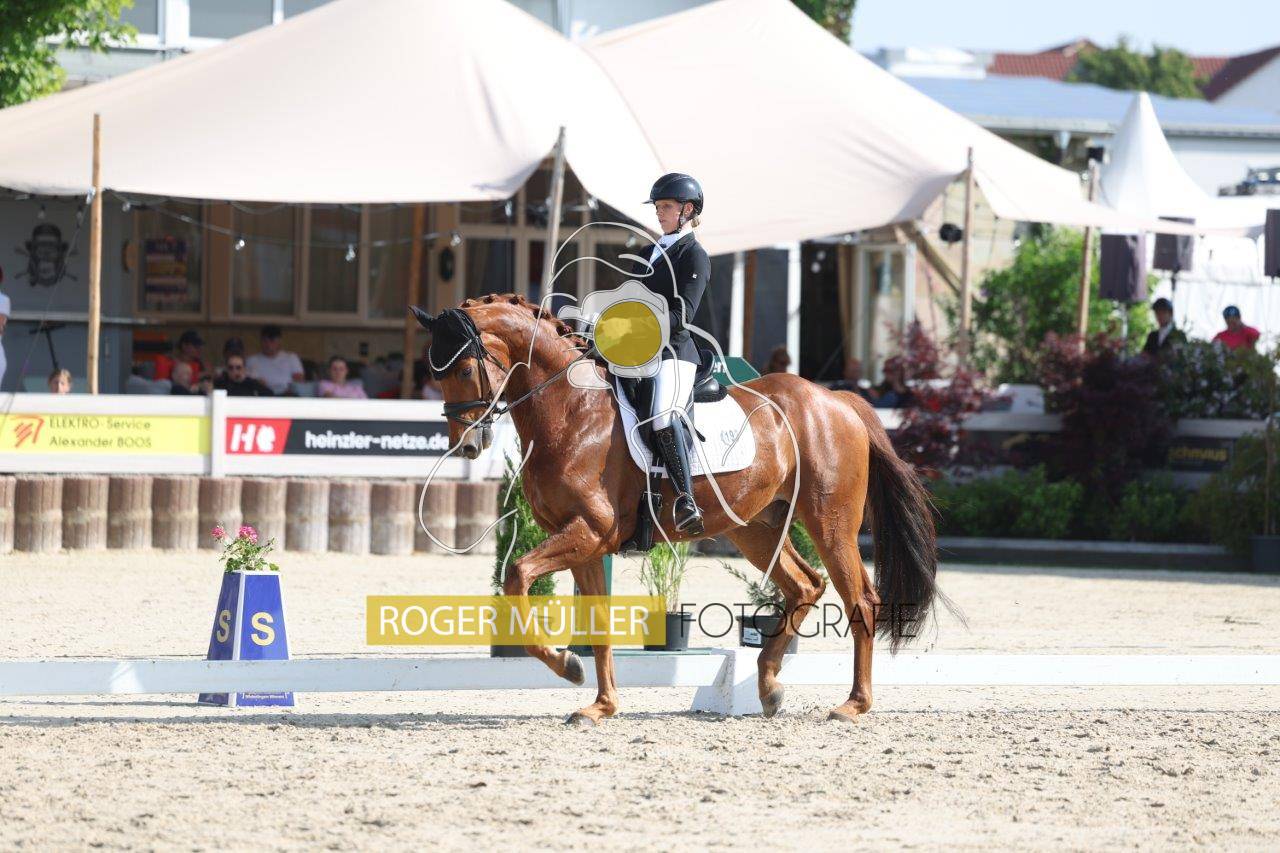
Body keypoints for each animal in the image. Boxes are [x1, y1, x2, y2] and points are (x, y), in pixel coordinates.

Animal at [411, 293, 940, 725]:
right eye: (435, 375)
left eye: (463, 370)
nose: (467, 445)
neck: (570, 409)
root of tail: (837, 400)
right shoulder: (583, 542)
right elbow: (597, 622)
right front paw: (599, 706)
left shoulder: (592, 531)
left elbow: (518, 574)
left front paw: (567, 666)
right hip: (755, 527)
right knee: (806, 585)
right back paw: (769, 685)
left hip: (830, 523)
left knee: (861, 600)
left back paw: (853, 704)